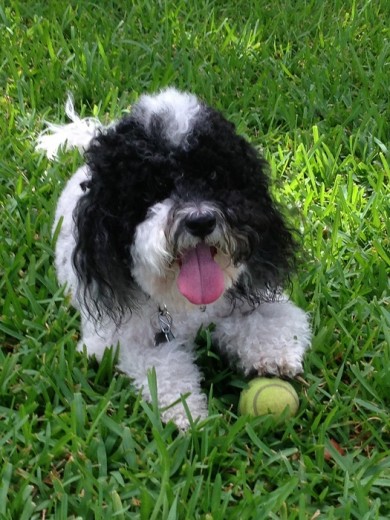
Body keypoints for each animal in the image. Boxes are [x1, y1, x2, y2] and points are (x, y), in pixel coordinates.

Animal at [37, 89, 310, 428]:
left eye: (215, 176)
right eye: (151, 188)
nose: (201, 221)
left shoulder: (260, 299)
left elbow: (273, 321)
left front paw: (272, 356)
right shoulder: (123, 340)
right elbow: (163, 371)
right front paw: (189, 414)